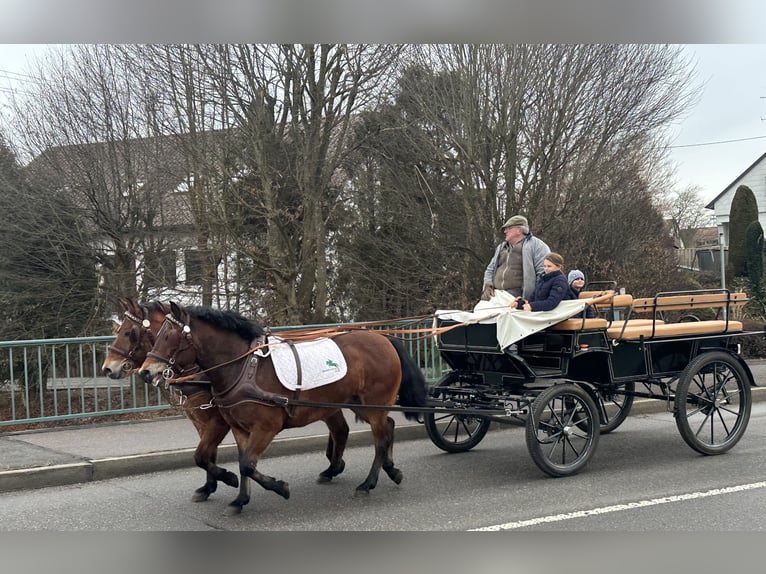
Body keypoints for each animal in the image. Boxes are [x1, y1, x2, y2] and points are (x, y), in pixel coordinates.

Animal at [141, 304, 428, 516]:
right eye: (155, 336)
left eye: (169, 336)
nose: (145, 371)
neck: (244, 367)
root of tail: (383, 338)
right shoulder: (239, 428)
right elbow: (240, 462)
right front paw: (239, 499)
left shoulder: (265, 428)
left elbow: (246, 465)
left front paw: (277, 487)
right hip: (359, 404)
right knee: (386, 428)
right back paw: (390, 471)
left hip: (372, 404)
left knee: (380, 439)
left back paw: (368, 483)